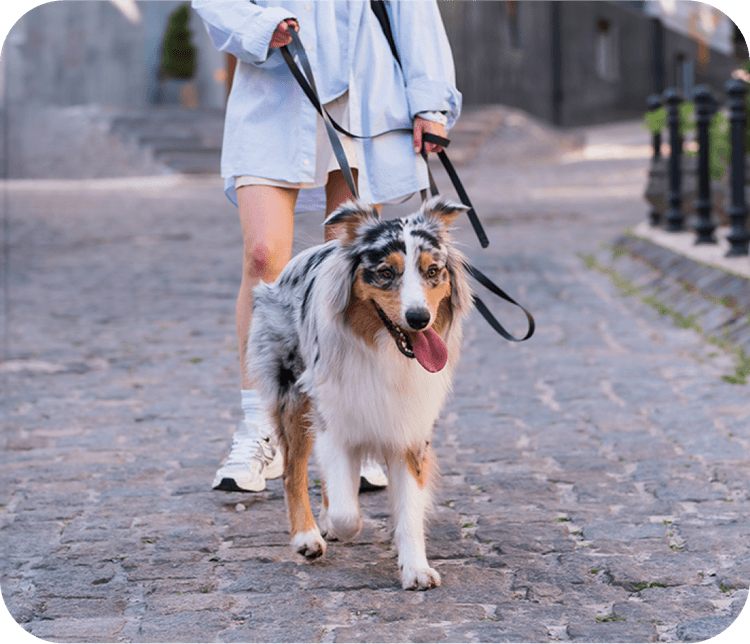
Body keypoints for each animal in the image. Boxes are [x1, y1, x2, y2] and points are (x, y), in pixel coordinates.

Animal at [251, 195, 476, 588]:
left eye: (433, 271)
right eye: (386, 273)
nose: (419, 318)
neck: (385, 351)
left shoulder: (409, 427)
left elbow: (409, 506)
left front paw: (415, 567)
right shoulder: (333, 420)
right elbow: (346, 513)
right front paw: (336, 528)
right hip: (293, 397)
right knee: (294, 471)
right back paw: (307, 536)